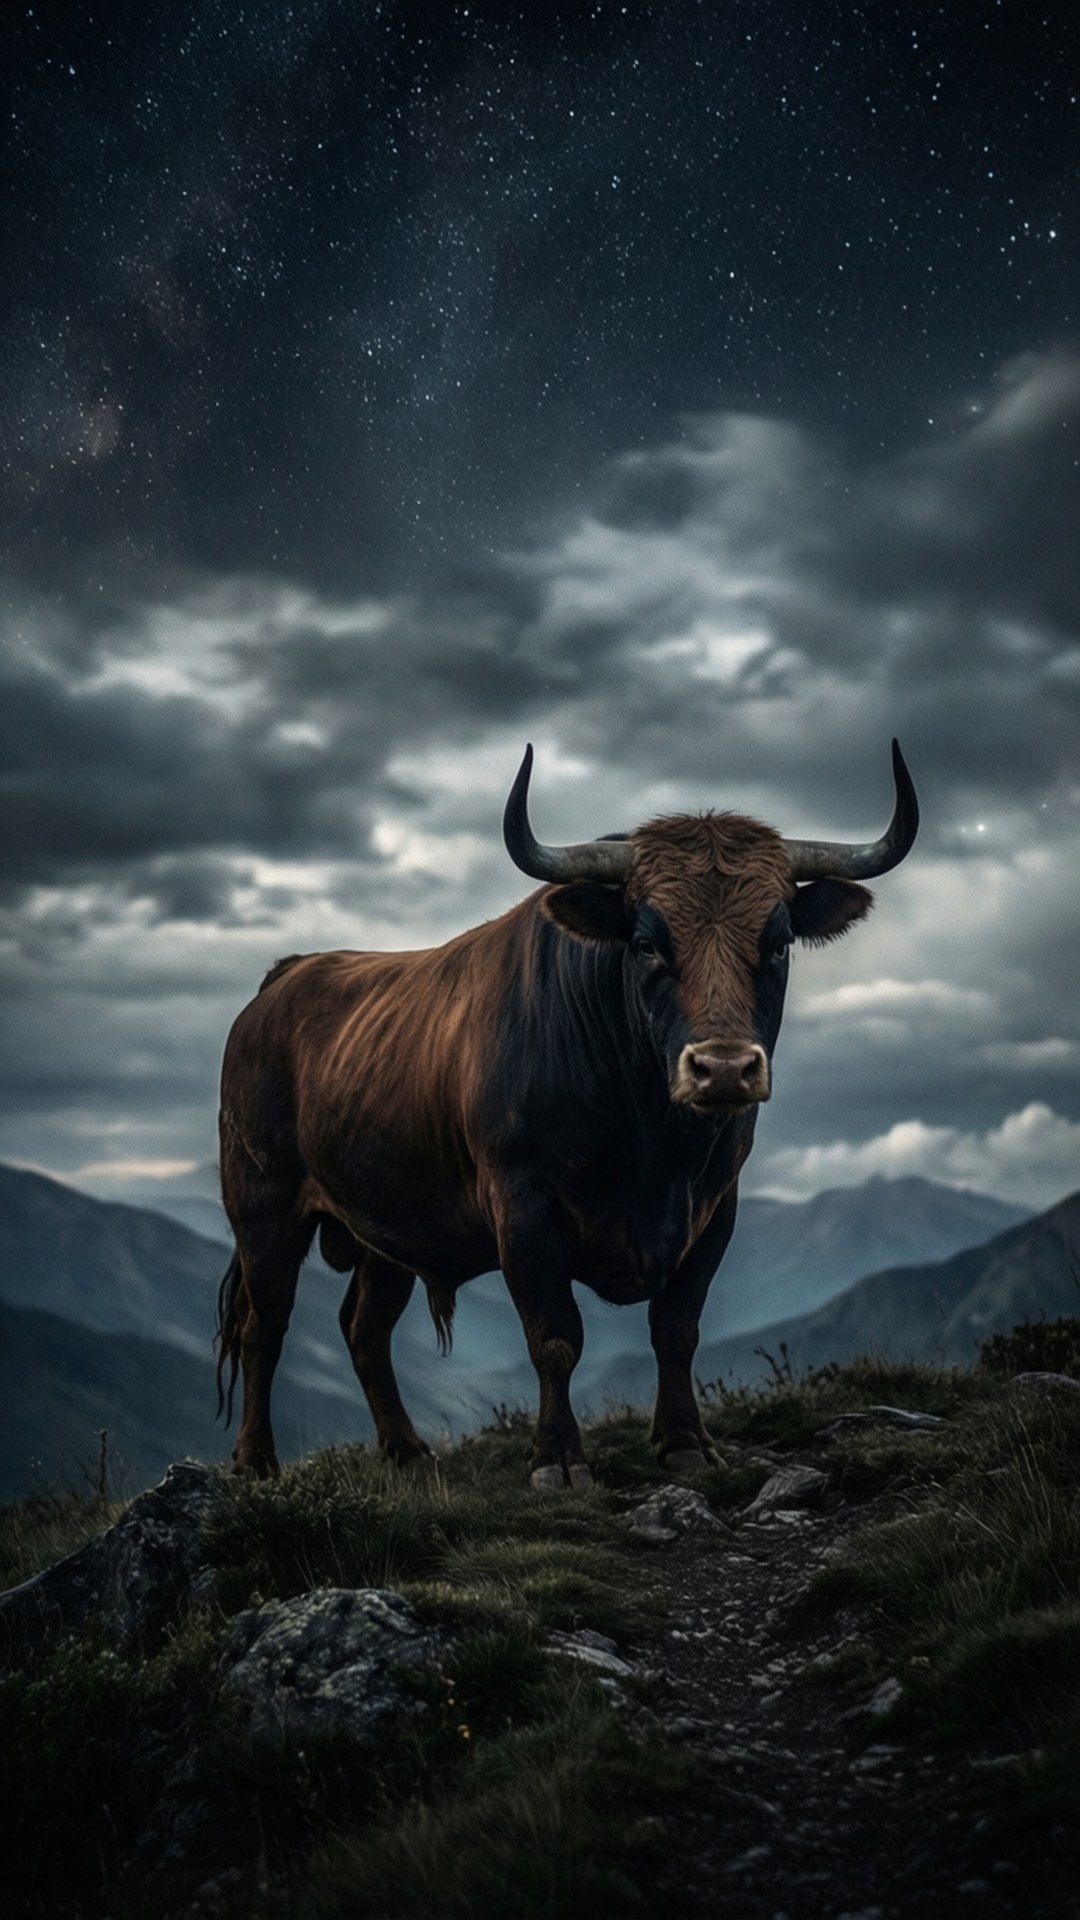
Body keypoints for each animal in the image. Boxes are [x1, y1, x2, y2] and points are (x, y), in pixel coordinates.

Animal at [216, 741, 918, 1488]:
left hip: (387, 1228)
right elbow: (554, 1336)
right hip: (264, 1207)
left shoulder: (715, 1208)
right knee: (265, 1326)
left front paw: (685, 1442)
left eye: (779, 941)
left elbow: (677, 1327)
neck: (655, 1145)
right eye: (647, 942)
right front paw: (559, 1460)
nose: (724, 1067)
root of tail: (285, 978)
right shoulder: (525, 1210)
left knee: (365, 1329)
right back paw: (255, 1460)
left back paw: (407, 1450)